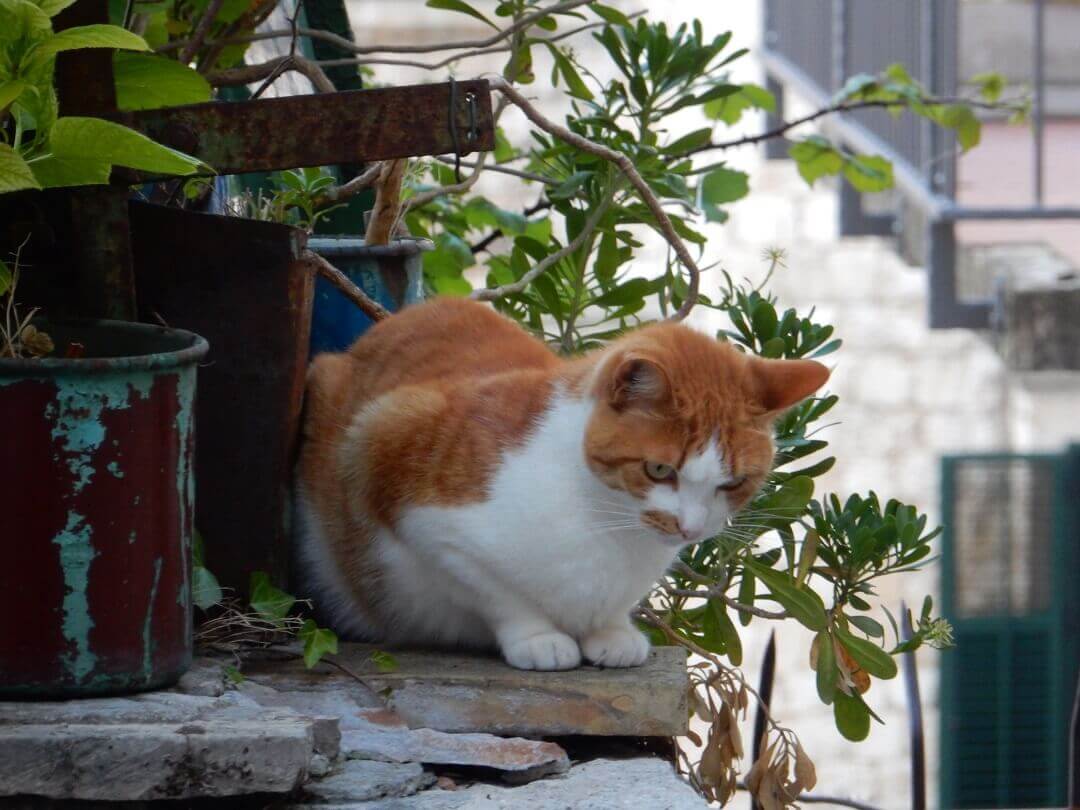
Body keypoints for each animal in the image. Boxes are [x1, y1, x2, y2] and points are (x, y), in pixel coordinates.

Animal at [295, 298, 825, 673]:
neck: (608, 524)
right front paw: (538, 637)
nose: (689, 529)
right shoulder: (399, 475)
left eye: (733, 482)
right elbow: (495, 589)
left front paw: (610, 631)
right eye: (658, 470)